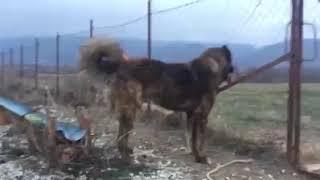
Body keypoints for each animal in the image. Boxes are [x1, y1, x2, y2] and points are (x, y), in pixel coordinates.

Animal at [79, 38, 235, 165]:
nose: (234, 69)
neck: (212, 65)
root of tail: (121, 64)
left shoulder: (191, 115)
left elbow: (191, 138)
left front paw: (193, 154)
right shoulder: (201, 116)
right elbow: (200, 141)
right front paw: (201, 157)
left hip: (128, 109)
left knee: (121, 132)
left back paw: (127, 150)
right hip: (131, 107)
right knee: (122, 133)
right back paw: (125, 154)